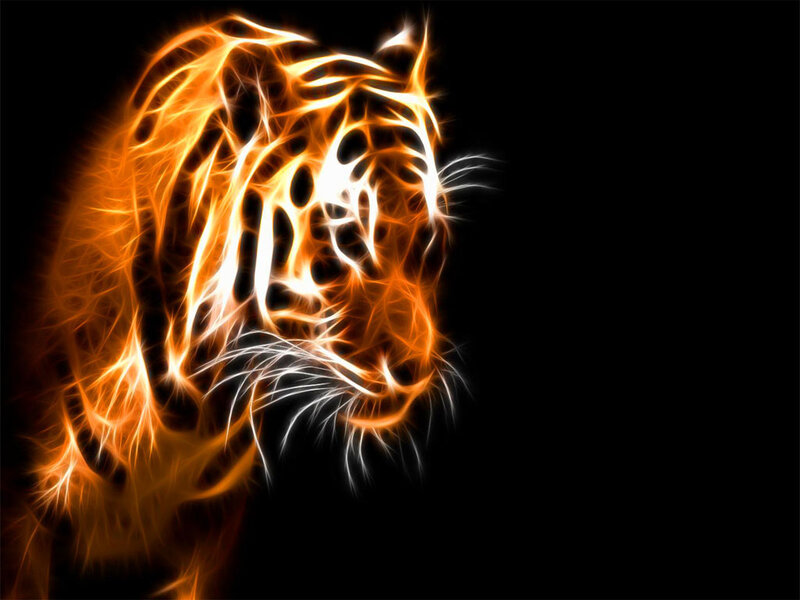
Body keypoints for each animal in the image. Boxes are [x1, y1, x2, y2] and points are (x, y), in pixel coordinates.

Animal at [5, 15, 475, 598]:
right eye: (347, 240)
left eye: (428, 239)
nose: (415, 371)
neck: (193, 403)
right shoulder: (22, 516)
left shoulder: (209, 533)